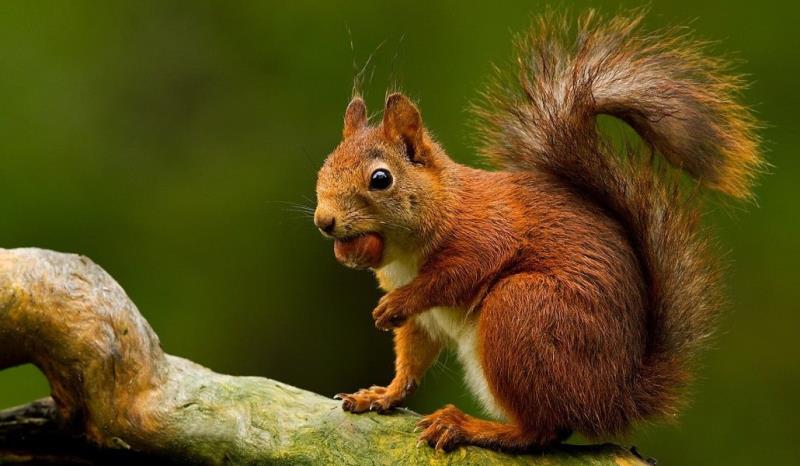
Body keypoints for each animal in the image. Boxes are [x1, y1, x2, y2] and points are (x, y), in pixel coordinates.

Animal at [310, 10, 760, 452]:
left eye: (381, 179)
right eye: (324, 167)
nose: (323, 221)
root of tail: (615, 399)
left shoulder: (486, 232)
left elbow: (455, 274)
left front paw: (396, 304)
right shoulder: (423, 322)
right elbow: (411, 359)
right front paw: (381, 395)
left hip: (521, 311)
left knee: (542, 430)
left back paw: (467, 426)